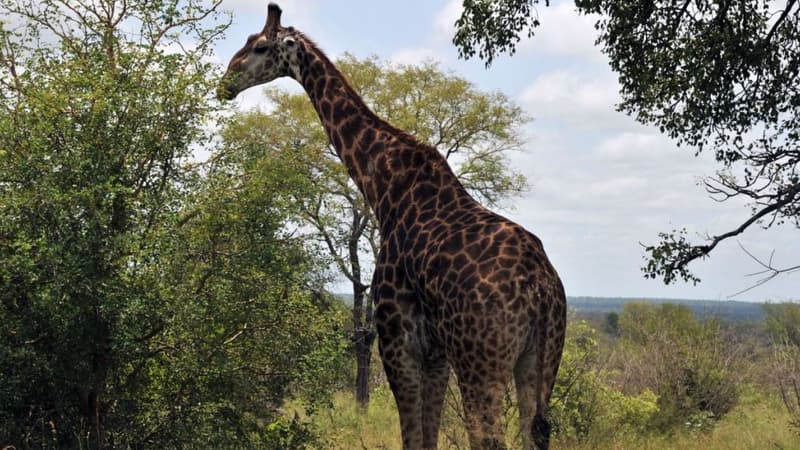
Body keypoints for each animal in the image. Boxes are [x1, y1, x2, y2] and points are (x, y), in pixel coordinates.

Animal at [219, 4, 564, 450]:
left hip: (480, 361)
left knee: (489, 437)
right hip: (540, 360)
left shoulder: (396, 342)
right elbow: (427, 437)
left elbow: (412, 438)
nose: (226, 82)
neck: (384, 189)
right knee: (535, 432)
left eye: (260, 46)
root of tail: (541, 290)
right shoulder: (435, 354)